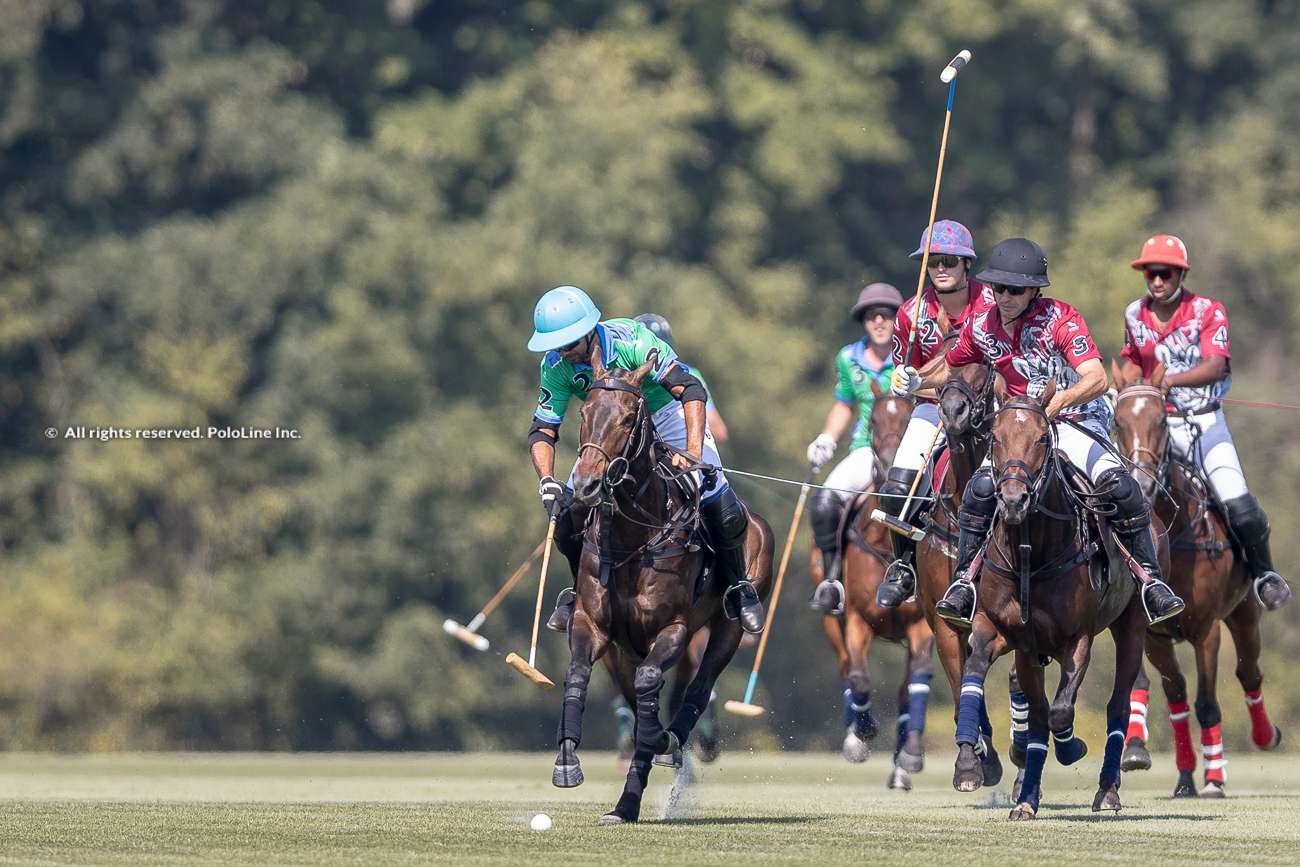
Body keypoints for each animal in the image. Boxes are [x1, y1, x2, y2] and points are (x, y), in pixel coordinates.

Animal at [551, 356, 769, 826]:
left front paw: (662, 744)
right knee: (642, 703)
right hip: (624, 652)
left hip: (726, 630)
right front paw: (567, 763)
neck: (634, 536)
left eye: (627, 418)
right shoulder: (595, 626)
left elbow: (653, 689)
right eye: (584, 413)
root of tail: (758, 520)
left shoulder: (673, 629)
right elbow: (579, 676)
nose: (586, 485)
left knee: (698, 688)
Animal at [811, 382, 935, 790]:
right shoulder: (855, 619)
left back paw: (900, 766)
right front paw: (862, 734)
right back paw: (855, 737)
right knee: (845, 668)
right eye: (873, 421)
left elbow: (916, 684)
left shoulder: (921, 626)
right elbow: (860, 678)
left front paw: (910, 756)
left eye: (912, 417)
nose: (894, 468)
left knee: (905, 688)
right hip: (830, 619)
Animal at [951, 387, 1154, 821]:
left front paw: (1072, 747)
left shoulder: (1077, 639)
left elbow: (1060, 712)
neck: (1031, 552)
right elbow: (1016, 702)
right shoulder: (1009, 636)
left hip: (1132, 625)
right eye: (995, 438)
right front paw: (1015, 792)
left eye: (1043, 438)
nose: (1013, 499)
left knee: (1118, 705)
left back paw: (1108, 791)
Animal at [1107, 363, 1279, 795]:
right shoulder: (1153, 632)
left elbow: (1207, 704)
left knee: (1249, 673)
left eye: (1161, 421)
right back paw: (1184, 776)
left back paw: (1263, 737)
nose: (1141, 484)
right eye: (1118, 422)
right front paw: (1136, 750)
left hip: (1244, 614)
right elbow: (1156, 690)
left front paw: (1215, 778)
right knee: (1177, 694)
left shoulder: (1206, 631)